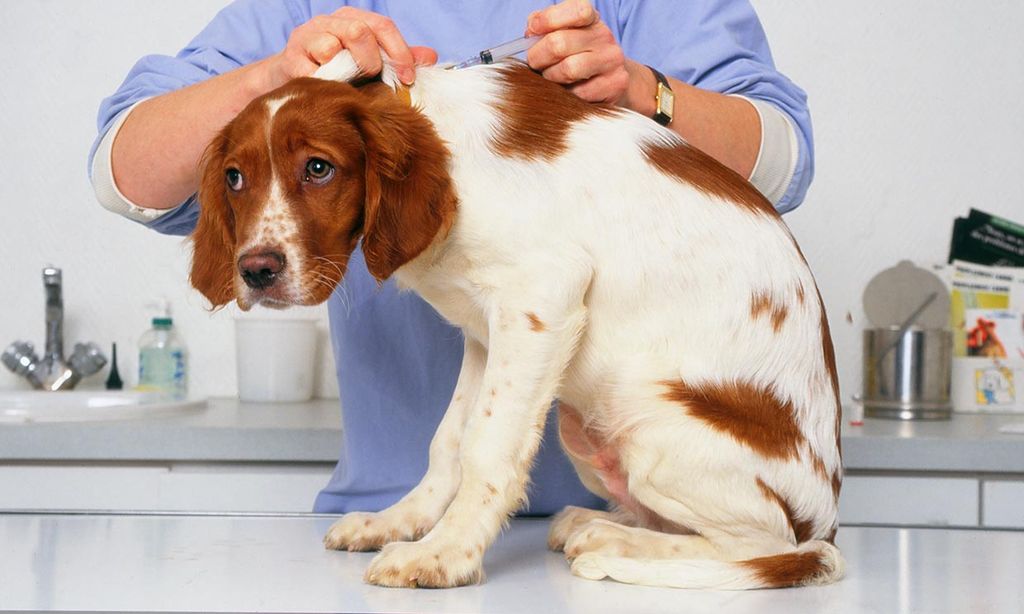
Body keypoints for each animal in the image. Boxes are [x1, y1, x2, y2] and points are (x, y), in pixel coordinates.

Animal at [190, 52, 839, 589]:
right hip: (588, 431)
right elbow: (449, 441)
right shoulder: (485, 330)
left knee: (767, 547)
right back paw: (596, 523)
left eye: (319, 168)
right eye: (234, 178)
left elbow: (487, 447)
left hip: (647, 416)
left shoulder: (541, 300)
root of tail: (827, 519)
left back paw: (610, 541)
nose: (256, 271)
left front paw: (444, 554)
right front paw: (401, 521)